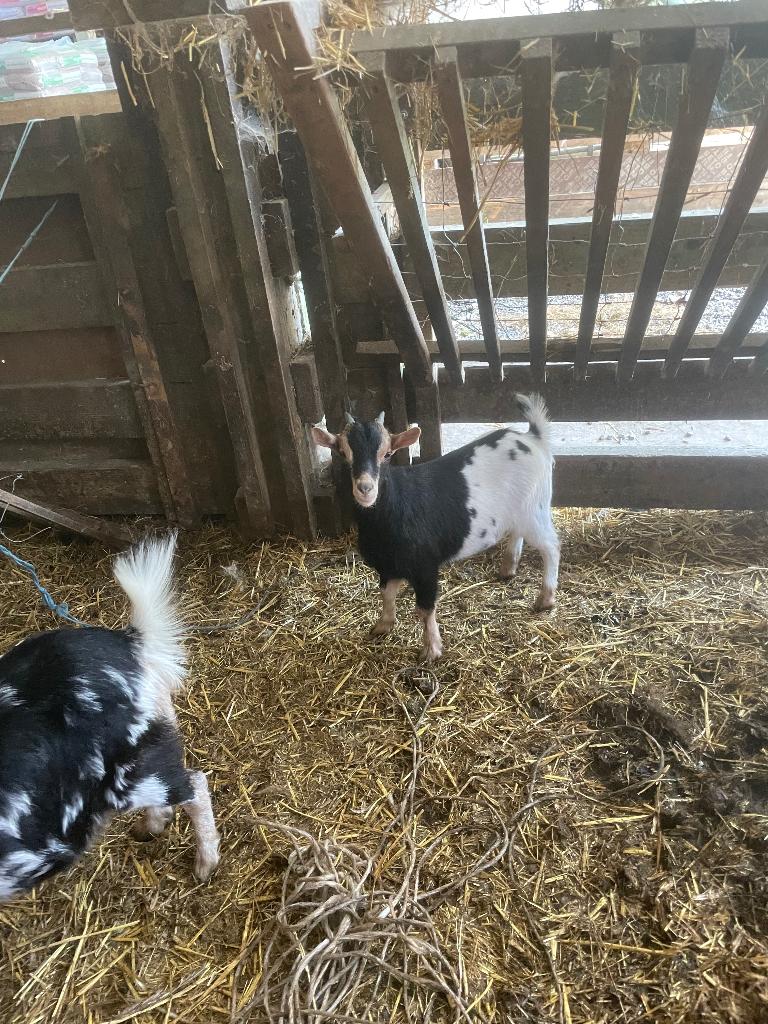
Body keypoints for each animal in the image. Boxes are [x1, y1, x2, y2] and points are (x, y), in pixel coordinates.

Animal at [313, 394, 559, 661]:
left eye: (387, 454)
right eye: (343, 453)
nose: (365, 488)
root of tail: (533, 437)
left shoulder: (425, 567)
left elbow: (425, 608)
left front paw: (431, 649)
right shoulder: (388, 565)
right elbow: (386, 594)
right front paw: (383, 625)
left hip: (535, 509)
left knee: (551, 547)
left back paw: (545, 598)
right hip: (519, 512)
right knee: (517, 533)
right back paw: (508, 569)